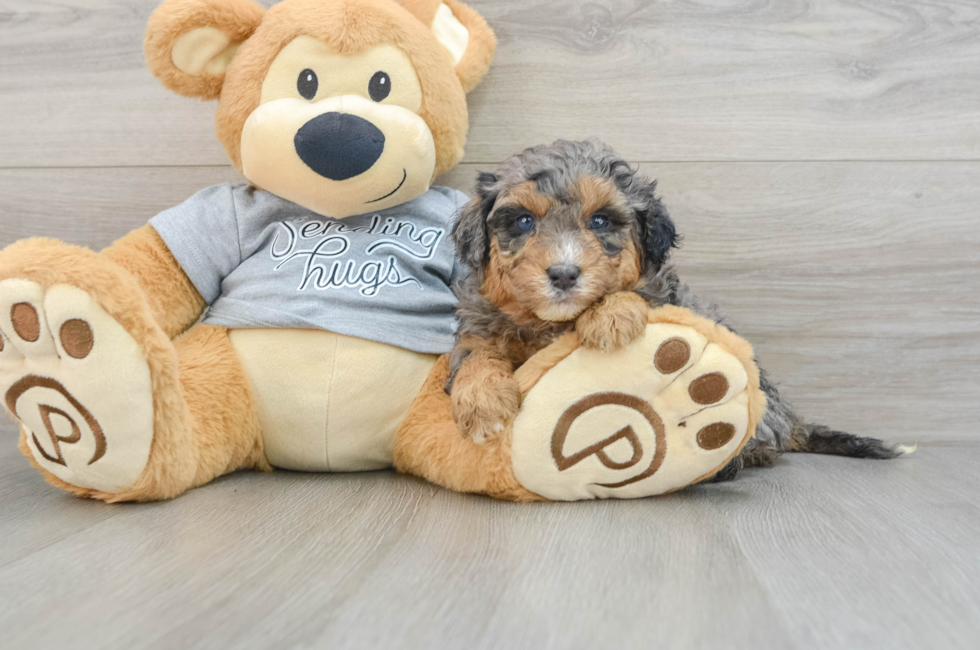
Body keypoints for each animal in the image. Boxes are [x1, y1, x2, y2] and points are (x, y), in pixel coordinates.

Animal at [444, 139, 904, 478]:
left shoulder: (666, 299)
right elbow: (475, 355)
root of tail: (792, 420)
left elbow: (638, 298)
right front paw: (483, 404)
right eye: (523, 221)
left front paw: (610, 315)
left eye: (600, 221)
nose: (563, 274)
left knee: (758, 441)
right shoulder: (479, 323)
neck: (550, 324)